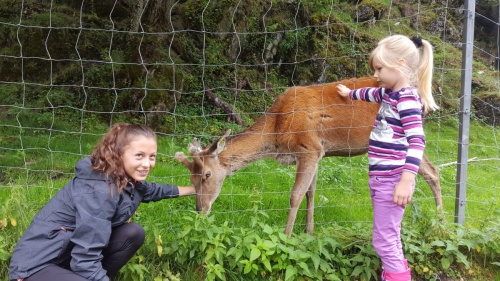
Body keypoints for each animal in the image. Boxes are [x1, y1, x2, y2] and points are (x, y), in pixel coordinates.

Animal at [176, 75, 442, 235]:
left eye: (207, 175)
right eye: (191, 178)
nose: (200, 210)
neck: (276, 132)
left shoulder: (308, 147)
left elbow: (295, 195)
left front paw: (286, 236)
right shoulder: (317, 153)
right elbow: (311, 193)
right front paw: (309, 232)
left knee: (429, 172)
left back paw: (441, 223)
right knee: (432, 171)